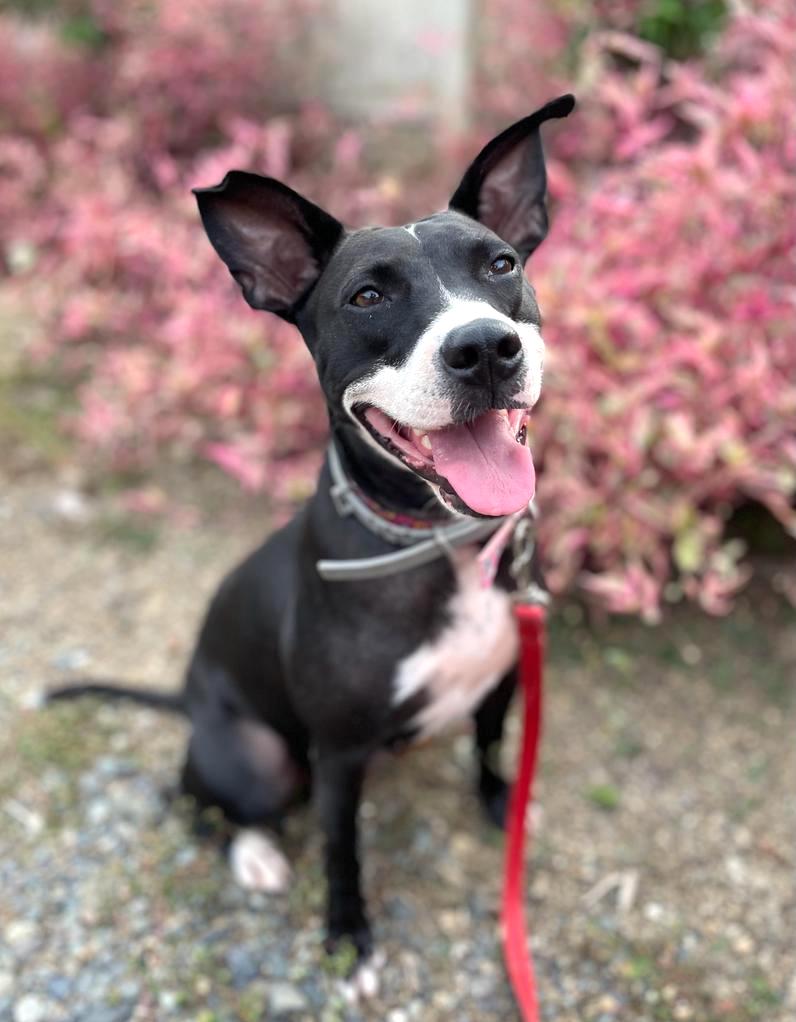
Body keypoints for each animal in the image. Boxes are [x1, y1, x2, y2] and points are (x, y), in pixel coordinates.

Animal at [48, 97, 572, 981]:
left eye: (501, 264)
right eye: (366, 296)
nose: (483, 348)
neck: (439, 541)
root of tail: (189, 695)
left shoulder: (503, 678)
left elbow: (492, 746)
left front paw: (503, 804)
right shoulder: (339, 753)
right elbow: (340, 848)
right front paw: (347, 935)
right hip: (260, 760)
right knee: (195, 800)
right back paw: (256, 854)